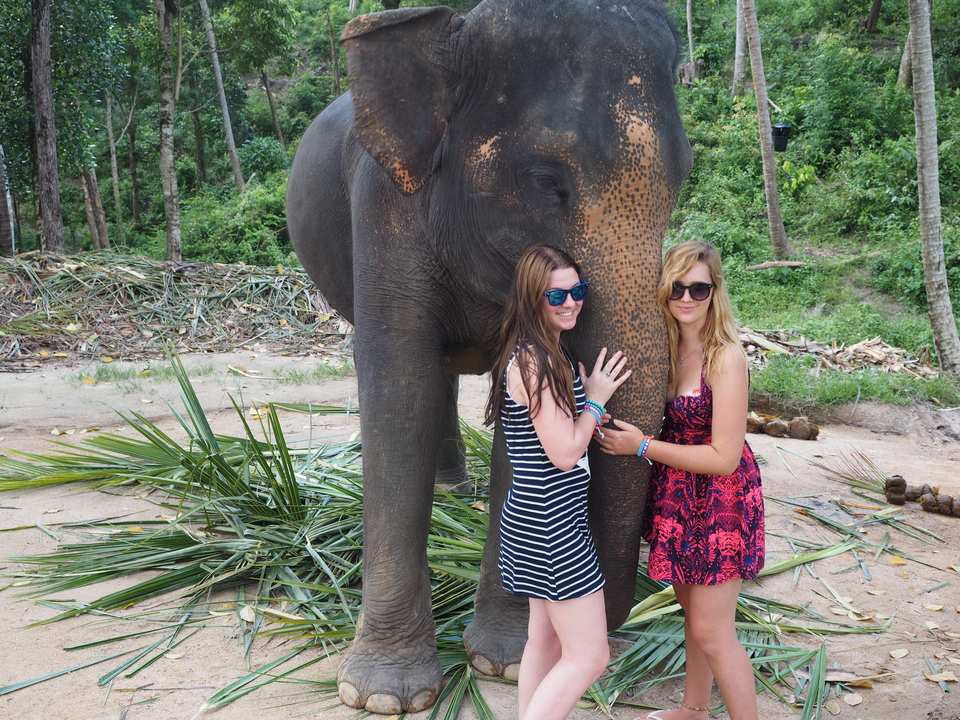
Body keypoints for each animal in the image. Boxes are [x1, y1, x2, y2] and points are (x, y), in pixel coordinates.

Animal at [286, 0, 692, 713]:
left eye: (683, 178)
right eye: (546, 181)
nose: (614, 617)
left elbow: (519, 407)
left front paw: (507, 660)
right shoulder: (383, 205)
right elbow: (401, 390)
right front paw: (384, 697)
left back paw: (457, 490)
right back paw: (448, 491)